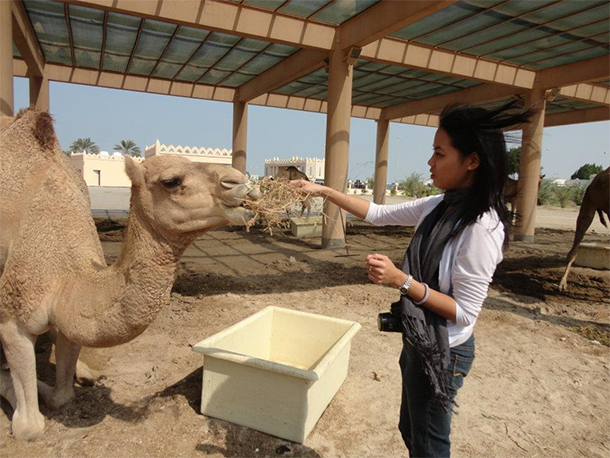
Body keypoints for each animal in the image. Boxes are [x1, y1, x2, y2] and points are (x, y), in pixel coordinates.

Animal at [0, 108, 258, 440]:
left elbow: (63, 395)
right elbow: (30, 427)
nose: (240, 182)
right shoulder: (12, 318)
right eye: (171, 181)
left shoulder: (70, 310)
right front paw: (13, 384)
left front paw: (62, 381)